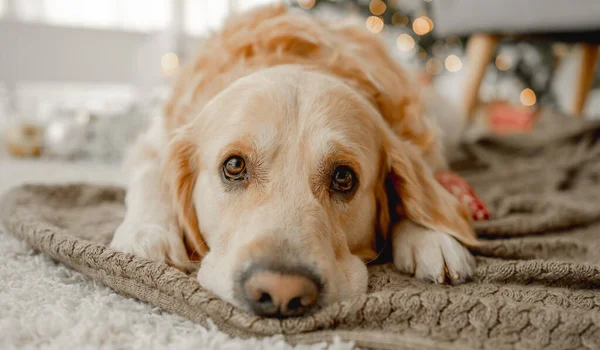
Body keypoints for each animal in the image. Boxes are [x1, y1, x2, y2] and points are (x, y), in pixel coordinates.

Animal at [110, 4, 476, 318]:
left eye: (344, 178)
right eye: (234, 166)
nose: (281, 291)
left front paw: (430, 237)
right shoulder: (152, 143)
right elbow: (150, 177)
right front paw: (147, 235)